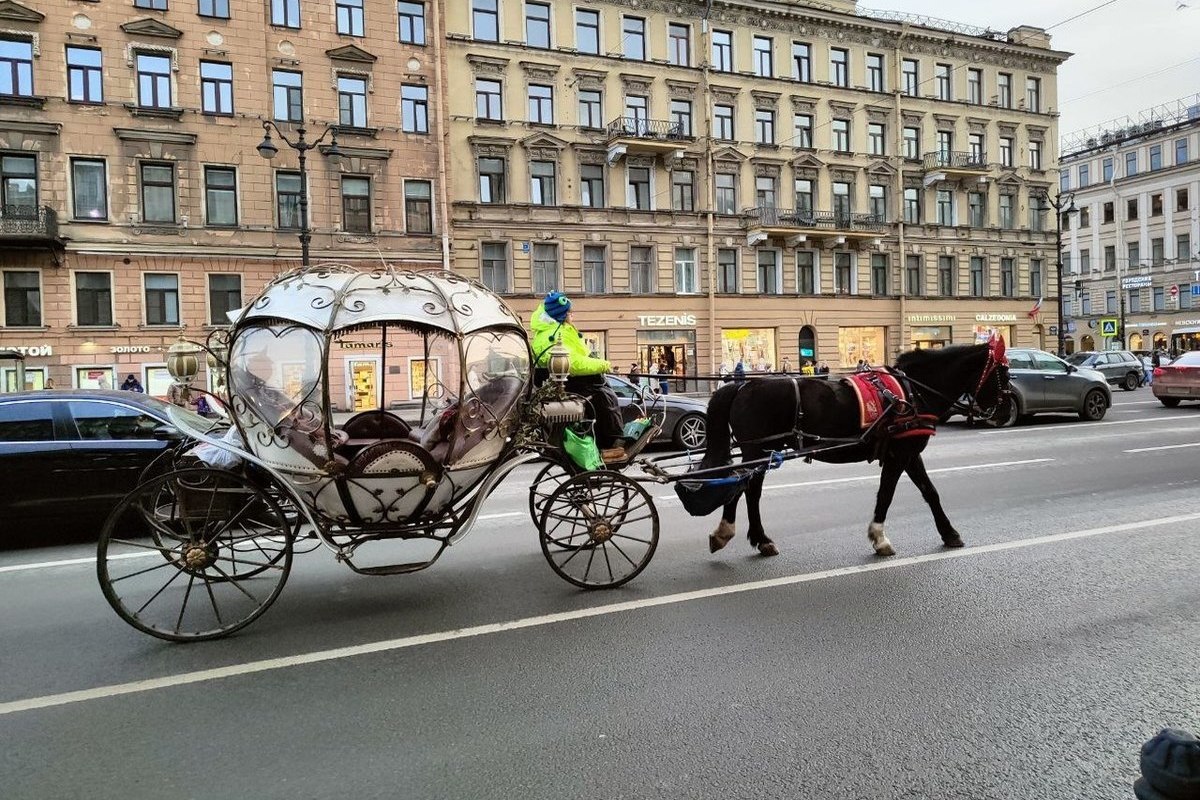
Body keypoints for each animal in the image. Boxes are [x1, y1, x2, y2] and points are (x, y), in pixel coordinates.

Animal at [700, 340, 1008, 561]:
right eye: (1002, 373)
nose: (1004, 410)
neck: (911, 391)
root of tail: (743, 386)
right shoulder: (901, 454)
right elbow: (887, 494)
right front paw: (879, 538)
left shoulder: (908, 454)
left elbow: (929, 492)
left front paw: (949, 533)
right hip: (757, 451)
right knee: (746, 489)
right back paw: (741, 535)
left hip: (761, 452)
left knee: (746, 488)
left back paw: (748, 537)